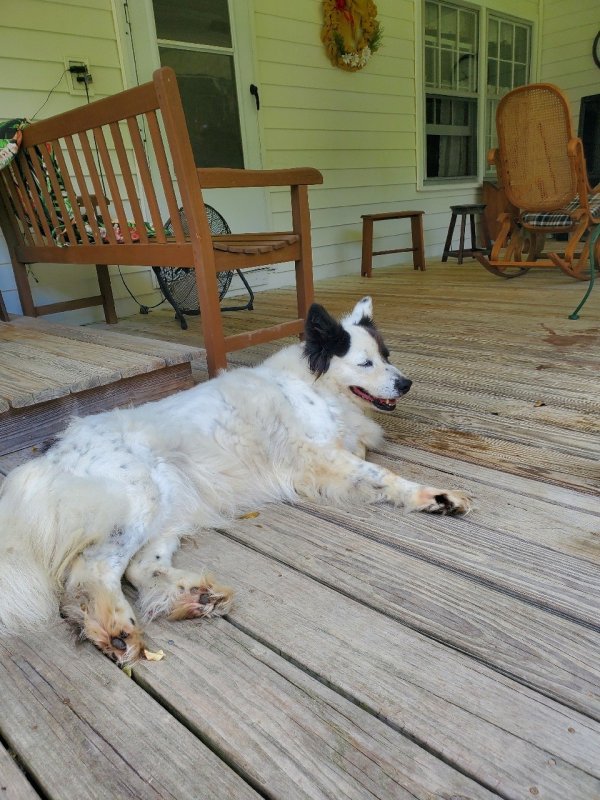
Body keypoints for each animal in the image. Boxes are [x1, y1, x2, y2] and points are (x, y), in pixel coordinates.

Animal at [0, 300, 468, 664]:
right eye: (365, 363)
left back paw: (191, 596)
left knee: (139, 566)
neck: (315, 386)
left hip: (171, 506)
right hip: (139, 500)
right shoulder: (317, 458)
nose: (405, 383)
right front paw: (434, 495)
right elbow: (381, 474)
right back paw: (116, 628)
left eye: (387, 355)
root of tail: (51, 459)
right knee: (94, 569)